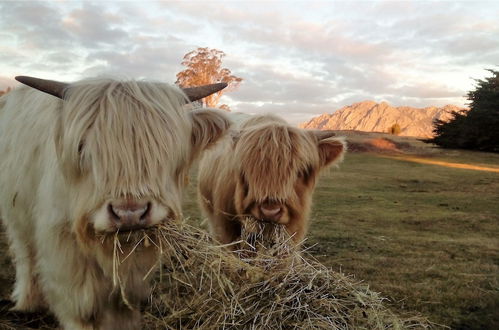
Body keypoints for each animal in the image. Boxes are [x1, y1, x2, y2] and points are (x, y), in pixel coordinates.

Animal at [0, 76, 230, 328]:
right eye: (82, 147)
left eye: (166, 148)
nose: (130, 213)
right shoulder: (64, 248)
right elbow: (81, 307)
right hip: (17, 215)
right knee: (26, 256)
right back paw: (27, 302)